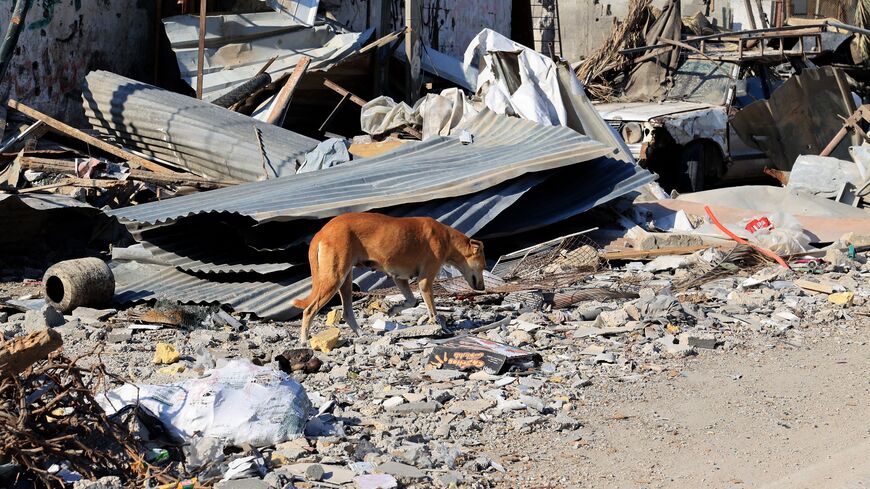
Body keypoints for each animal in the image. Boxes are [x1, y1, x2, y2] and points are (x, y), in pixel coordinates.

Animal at [292, 213, 484, 344]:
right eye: (482, 266)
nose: (482, 288)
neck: (447, 238)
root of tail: (322, 232)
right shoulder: (424, 281)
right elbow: (432, 310)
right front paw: (438, 326)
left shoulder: (400, 278)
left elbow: (411, 301)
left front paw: (393, 310)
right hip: (334, 279)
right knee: (309, 310)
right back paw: (304, 340)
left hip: (345, 282)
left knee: (347, 313)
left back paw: (362, 334)